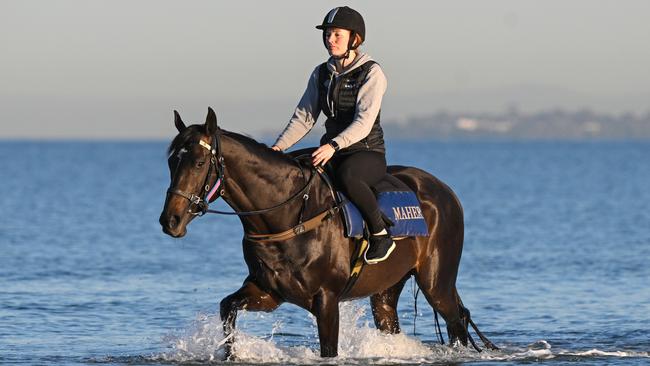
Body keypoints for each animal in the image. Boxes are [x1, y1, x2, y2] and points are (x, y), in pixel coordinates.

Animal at [159, 108, 494, 358]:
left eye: (199, 162)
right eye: (171, 161)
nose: (170, 220)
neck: (289, 214)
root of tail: (445, 191)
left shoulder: (326, 299)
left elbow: (328, 350)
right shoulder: (269, 292)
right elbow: (227, 308)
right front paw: (230, 353)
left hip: (436, 284)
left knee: (456, 325)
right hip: (386, 291)